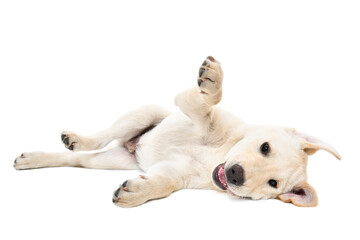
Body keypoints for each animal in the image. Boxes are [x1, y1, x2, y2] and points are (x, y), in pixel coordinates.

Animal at [14, 56, 340, 206]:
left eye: (273, 184)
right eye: (265, 147)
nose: (236, 175)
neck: (215, 159)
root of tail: (132, 146)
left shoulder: (174, 174)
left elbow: (164, 185)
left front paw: (137, 191)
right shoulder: (191, 107)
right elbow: (208, 103)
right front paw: (212, 80)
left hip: (112, 160)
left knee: (79, 160)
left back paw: (33, 159)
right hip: (143, 113)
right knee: (99, 138)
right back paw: (76, 139)